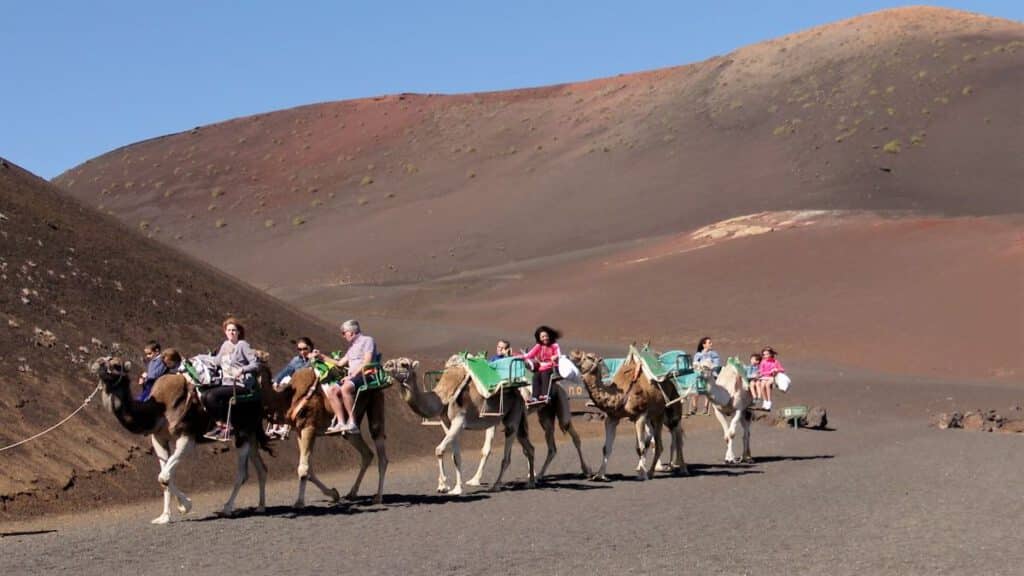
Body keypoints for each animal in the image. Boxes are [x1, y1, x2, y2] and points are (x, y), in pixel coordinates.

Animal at [92, 352, 272, 522]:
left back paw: (227, 508)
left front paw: (185, 506)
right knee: (261, 468)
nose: (96, 364)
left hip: (243, 432)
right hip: (251, 433)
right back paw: (261, 507)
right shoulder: (158, 438)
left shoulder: (187, 437)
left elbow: (164, 476)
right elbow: (164, 476)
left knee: (242, 473)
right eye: (102, 359)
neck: (159, 410)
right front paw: (164, 517)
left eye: (116, 365)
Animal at [272, 356, 415, 504]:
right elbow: (309, 468)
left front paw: (299, 502)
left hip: (375, 402)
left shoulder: (309, 427)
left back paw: (378, 497)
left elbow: (304, 468)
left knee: (381, 453)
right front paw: (333, 493)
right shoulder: (300, 431)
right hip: (350, 428)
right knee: (367, 453)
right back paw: (352, 493)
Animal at [395, 354, 536, 494]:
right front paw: (455, 488)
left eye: (404, 364)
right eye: (393, 361)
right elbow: (456, 457)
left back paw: (497, 485)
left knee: (508, 450)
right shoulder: (447, 424)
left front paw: (443, 485)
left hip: (513, 415)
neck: (443, 396)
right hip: (515, 417)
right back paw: (531, 481)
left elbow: (439, 450)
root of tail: (520, 393)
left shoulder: (459, 421)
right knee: (529, 447)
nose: (389, 366)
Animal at [565, 350, 684, 479]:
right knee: (659, 438)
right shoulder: (612, 418)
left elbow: (640, 447)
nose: (570, 354)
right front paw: (599, 475)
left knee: (670, 436)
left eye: (589, 357)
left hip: (667, 411)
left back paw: (670, 469)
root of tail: (671, 383)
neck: (620, 394)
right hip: (654, 418)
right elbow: (606, 448)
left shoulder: (640, 415)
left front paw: (642, 474)